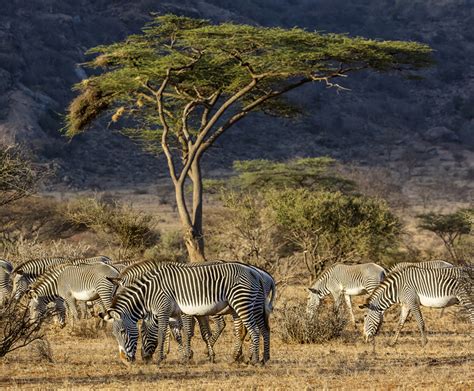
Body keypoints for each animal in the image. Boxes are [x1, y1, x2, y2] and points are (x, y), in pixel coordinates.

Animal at [101, 264, 268, 368]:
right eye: (114, 334)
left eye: (122, 332)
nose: (125, 361)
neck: (149, 293)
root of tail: (255, 272)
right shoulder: (174, 314)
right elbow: (178, 336)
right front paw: (184, 358)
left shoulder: (163, 310)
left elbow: (162, 334)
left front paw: (160, 359)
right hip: (245, 306)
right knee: (261, 330)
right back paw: (259, 359)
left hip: (242, 303)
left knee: (254, 330)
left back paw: (254, 360)